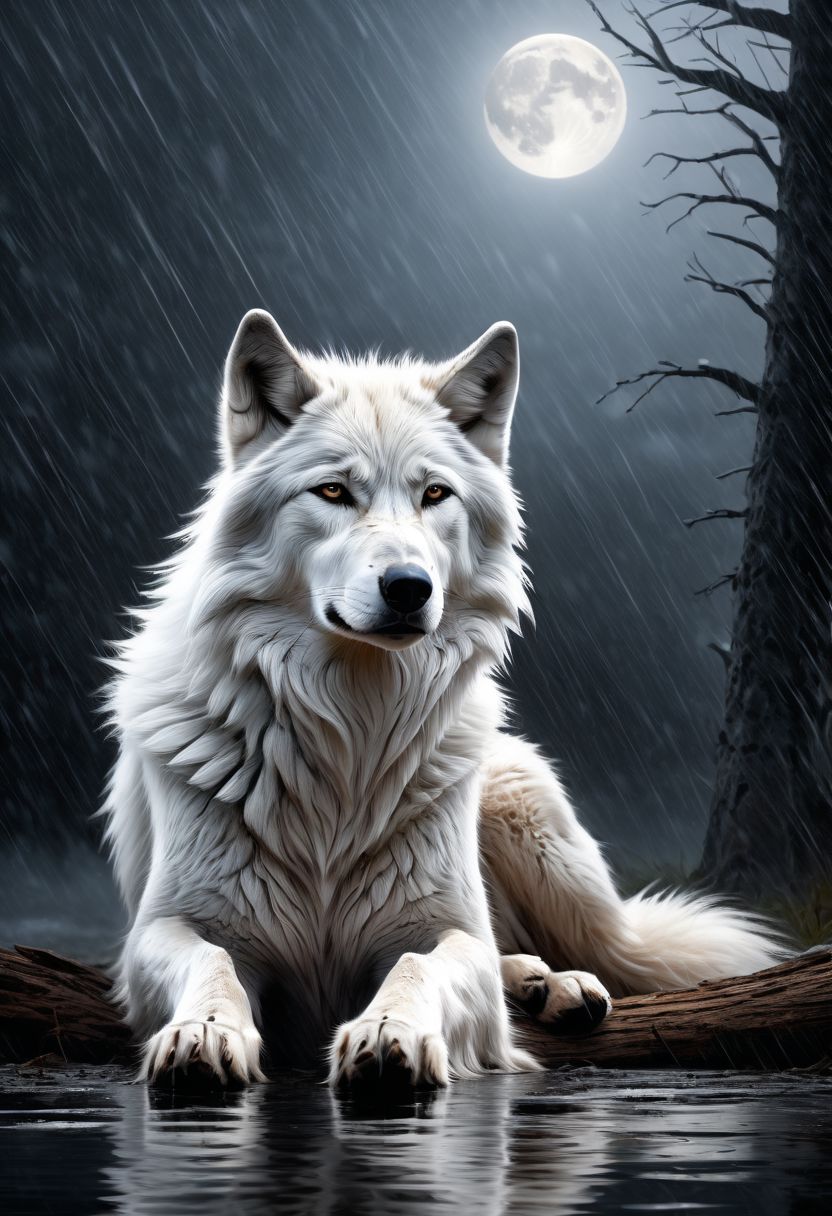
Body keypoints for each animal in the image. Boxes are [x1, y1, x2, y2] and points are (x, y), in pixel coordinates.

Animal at [103, 310, 780, 1089]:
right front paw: (203, 1033)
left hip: (529, 818)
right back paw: (538, 984)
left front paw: (389, 1032)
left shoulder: (442, 930)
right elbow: (211, 961)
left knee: (584, 952)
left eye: (435, 495)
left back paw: (556, 985)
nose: (408, 587)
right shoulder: (162, 930)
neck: (350, 732)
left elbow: (418, 964)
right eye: (332, 492)